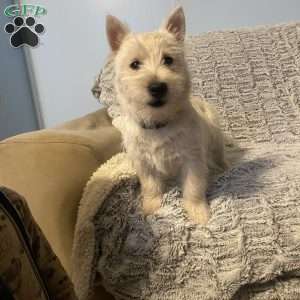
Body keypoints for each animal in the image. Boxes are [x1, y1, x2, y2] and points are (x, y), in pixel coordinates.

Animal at [106, 6, 226, 225]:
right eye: (134, 64)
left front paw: (198, 212)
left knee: (219, 155)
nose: (157, 87)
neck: (159, 122)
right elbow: (151, 186)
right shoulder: (144, 163)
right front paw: (151, 207)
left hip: (215, 139)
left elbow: (193, 188)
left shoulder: (192, 159)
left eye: (168, 60)